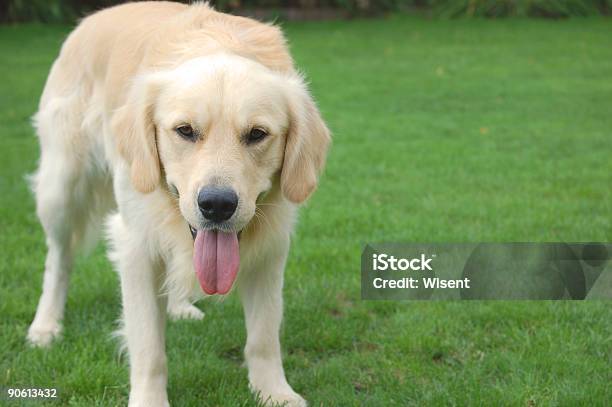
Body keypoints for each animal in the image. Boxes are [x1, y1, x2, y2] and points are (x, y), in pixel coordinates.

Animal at [25, 1, 330, 406]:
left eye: (257, 134)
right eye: (185, 130)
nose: (217, 205)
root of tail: (94, 17)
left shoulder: (271, 244)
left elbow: (264, 335)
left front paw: (273, 392)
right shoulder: (135, 244)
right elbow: (148, 346)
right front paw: (149, 399)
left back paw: (180, 306)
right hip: (62, 186)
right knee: (58, 259)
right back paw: (45, 325)